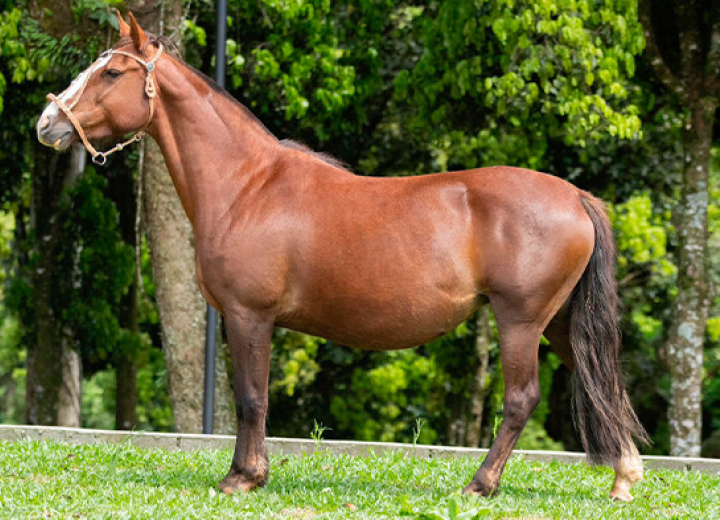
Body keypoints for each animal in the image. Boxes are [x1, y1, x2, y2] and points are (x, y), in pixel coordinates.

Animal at [36, 11, 648, 500]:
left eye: (111, 73)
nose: (48, 123)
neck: (248, 186)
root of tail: (575, 196)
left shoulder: (248, 316)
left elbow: (251, 397)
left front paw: (243, 477)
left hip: (520, 320)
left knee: (522, 399)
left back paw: (480, 484)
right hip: (560, 322)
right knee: (606, 385)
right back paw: (624, 480)